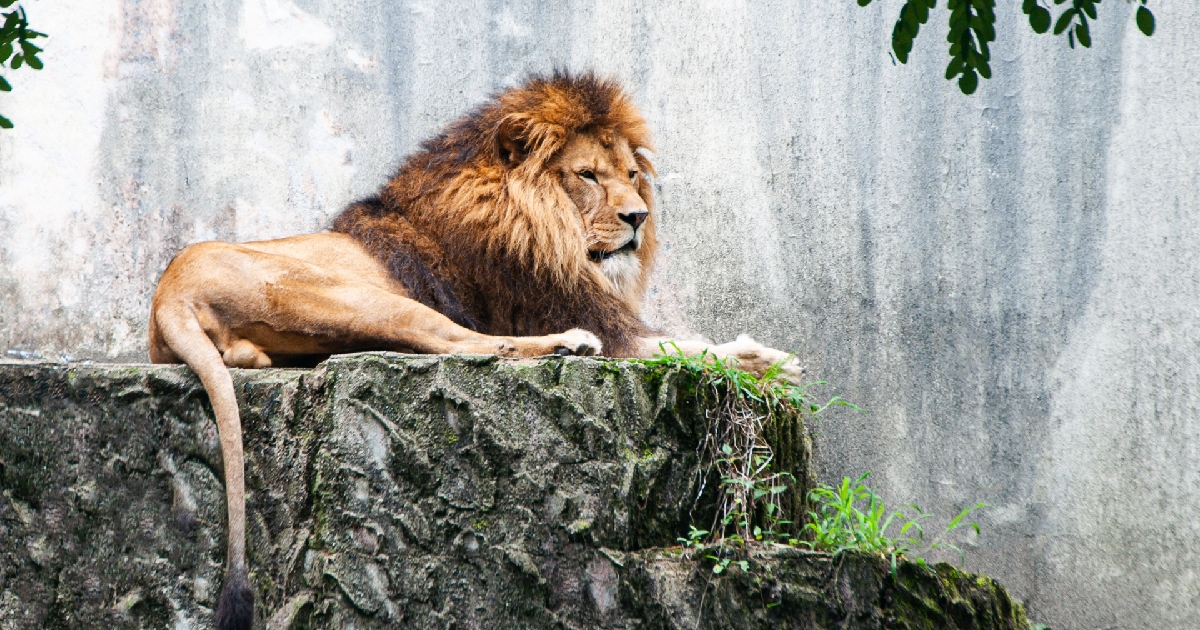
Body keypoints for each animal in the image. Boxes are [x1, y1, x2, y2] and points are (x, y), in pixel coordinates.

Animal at [150, 71, 801, 624]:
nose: (638, 217)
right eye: (589, 175)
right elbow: (681, 346)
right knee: (464, 343)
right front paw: (769, 361)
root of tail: (167, 297)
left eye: (631, 175)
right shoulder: (581, 314)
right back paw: (569, 346)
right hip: (363, 298)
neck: (536, 226)